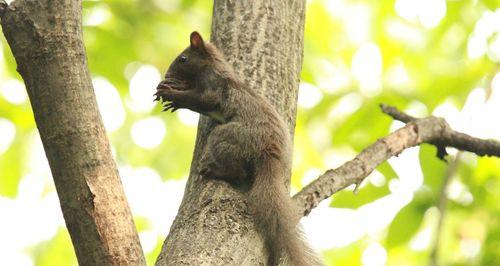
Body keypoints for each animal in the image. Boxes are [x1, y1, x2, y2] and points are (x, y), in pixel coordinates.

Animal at [154, 31, 322, 266]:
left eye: (183, 59)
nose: (168, 74)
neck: (212, 67)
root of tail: (269, 152)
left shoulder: (213, 86)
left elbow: (203, 100)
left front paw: (173, 95)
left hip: (228, 136)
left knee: (238, 172)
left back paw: (216, 171)